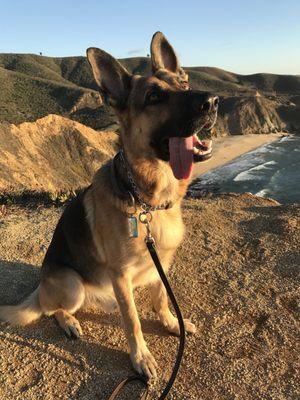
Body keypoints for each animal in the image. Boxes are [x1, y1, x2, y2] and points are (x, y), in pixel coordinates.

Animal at [0, 31, 217, 378]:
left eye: (184, 83)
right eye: (154, 96)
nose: (211, 102)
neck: (146, 201)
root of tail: (41, 284)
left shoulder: (161, 264)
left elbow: (161, 297)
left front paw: (172, 323)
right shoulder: (121, 275)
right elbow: (133, 321)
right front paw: (141, 358)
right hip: (71, 283)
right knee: (51, 309)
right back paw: (69, 322)